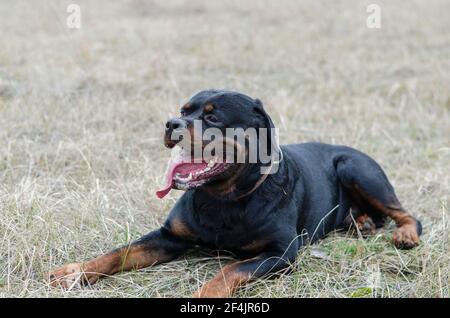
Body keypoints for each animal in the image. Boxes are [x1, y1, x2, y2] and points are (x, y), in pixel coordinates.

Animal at [49, 90, 422, 298]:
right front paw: (75, 272)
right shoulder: (169, 236)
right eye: (183, 111)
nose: (171, 123)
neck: (222, 198)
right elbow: (120, 253)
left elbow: (230, 270)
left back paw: (404, 234)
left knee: (408, 214)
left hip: (355, 167)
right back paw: (362, 223)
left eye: (213, 118)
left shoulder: (280, 253)